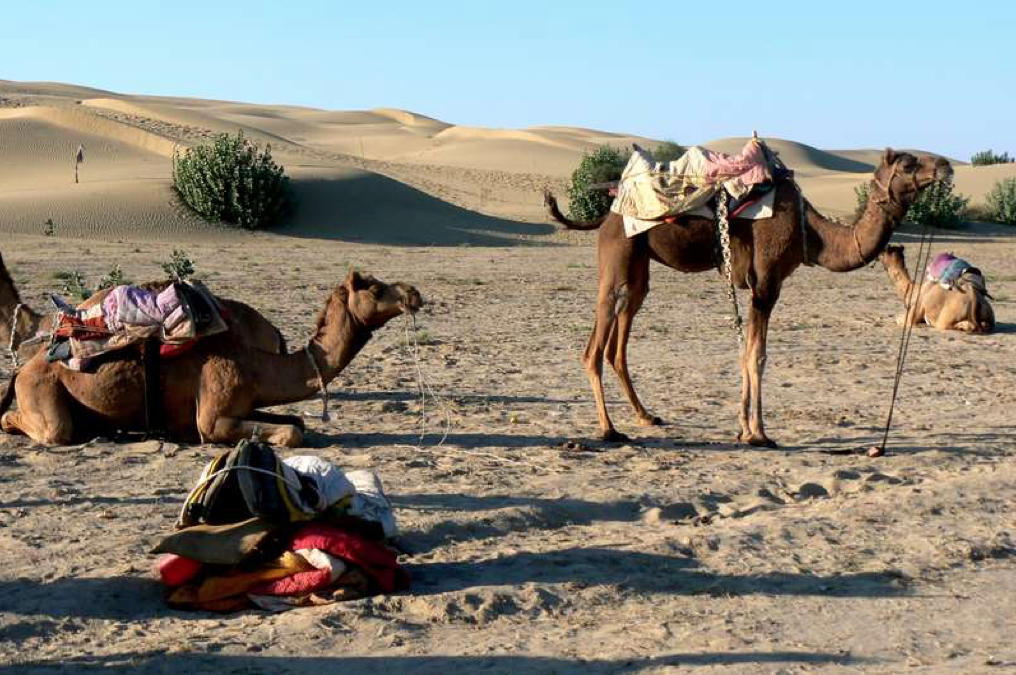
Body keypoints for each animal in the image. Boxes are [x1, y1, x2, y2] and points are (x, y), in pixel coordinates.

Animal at [0, 271, 422, 447]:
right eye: (374, 288)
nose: (413, 293)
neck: (255, 363)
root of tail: (22, 369)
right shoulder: (213, 417)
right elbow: (291, 433)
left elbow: (297, 420)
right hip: (42, 390)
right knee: (45, 427)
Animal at [544, 149, 952, 447]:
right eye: (908, 163)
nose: (946, 166)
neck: (811, 233)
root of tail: (606, 214)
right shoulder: (767, 282)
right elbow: (757, 355)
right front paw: (759, 434)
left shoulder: (762, 286)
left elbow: (747, 352)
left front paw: (743, 427)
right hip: (617, 254)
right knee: (594, 345)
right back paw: (608, 429)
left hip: (639, 266)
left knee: (620, 337)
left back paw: (646, 416)